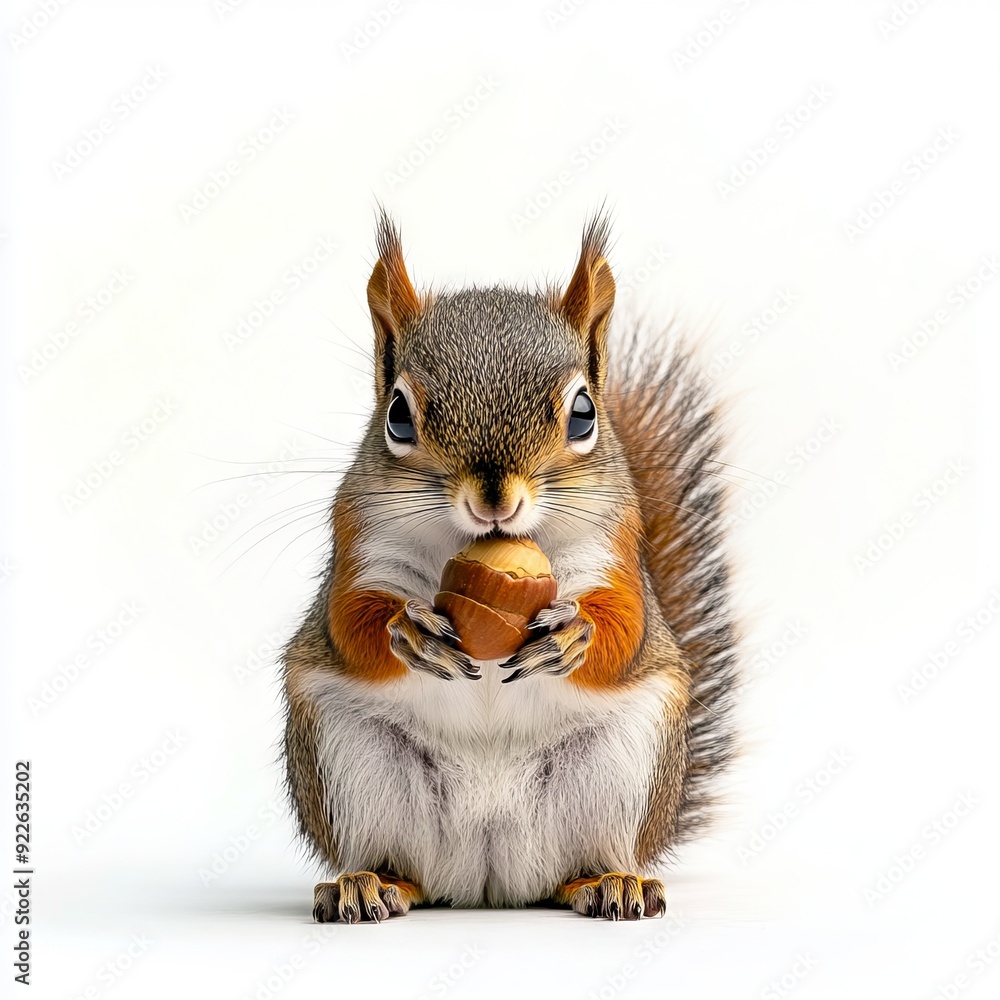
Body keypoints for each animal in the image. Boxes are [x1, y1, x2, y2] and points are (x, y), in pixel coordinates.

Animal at [281, 211, 738, 922]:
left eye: (584, 412)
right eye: (398, 415)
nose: (494, 500)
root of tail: (488, 881)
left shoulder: (615, 548)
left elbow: (627, 628)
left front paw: (576, 634)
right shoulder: (360, 541)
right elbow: (348, 623)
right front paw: (407, 630)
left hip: (623, 765)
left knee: (580, 866)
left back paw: (612, 883)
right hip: (350, 760)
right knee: (401, 865)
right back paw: (371, 883)